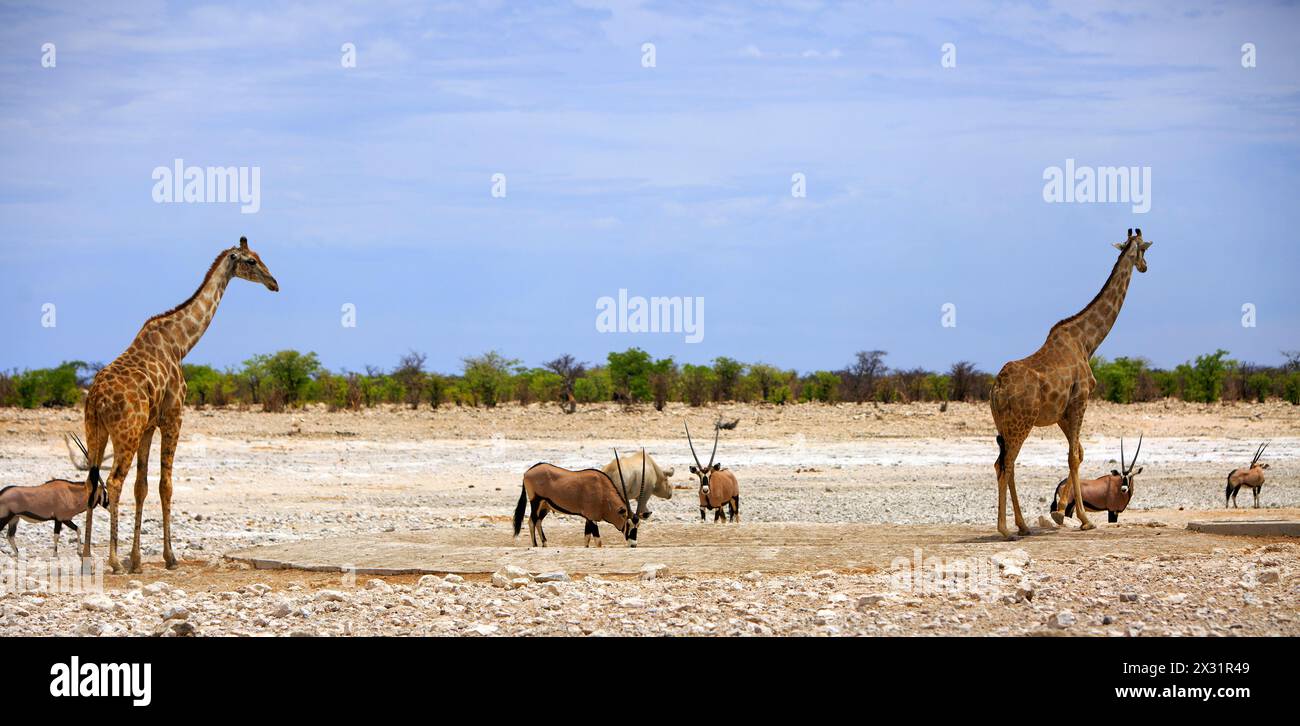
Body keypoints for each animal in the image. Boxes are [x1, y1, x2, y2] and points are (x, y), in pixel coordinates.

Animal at [79, 239, 279, 575]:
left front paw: (137, 561)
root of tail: (96, 398)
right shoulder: (174, 417)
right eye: (251, 261)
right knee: (113, 481)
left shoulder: (149, 427)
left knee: (91, 480)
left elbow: (142, 486)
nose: (274, 283)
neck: (181, 344)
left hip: (96, 429)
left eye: (260, 257)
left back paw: (85, 557)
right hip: (125, 432)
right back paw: (113, 561)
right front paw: (168, 557)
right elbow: (165, 485)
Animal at [987, 227, 1154, 541]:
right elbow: (1074, 457)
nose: (1145, 267)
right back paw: (1006, 529)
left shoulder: (1062, 413)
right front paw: (1083, 518)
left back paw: (1023, 525)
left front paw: (1062, 511)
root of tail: (996, 389)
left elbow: (1078, 453)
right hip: (1020, 423)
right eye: (1143, 249)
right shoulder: (1081, 400)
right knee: (1007, 465)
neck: (1087, 342)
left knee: (1003, 464)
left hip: (1004, 426)